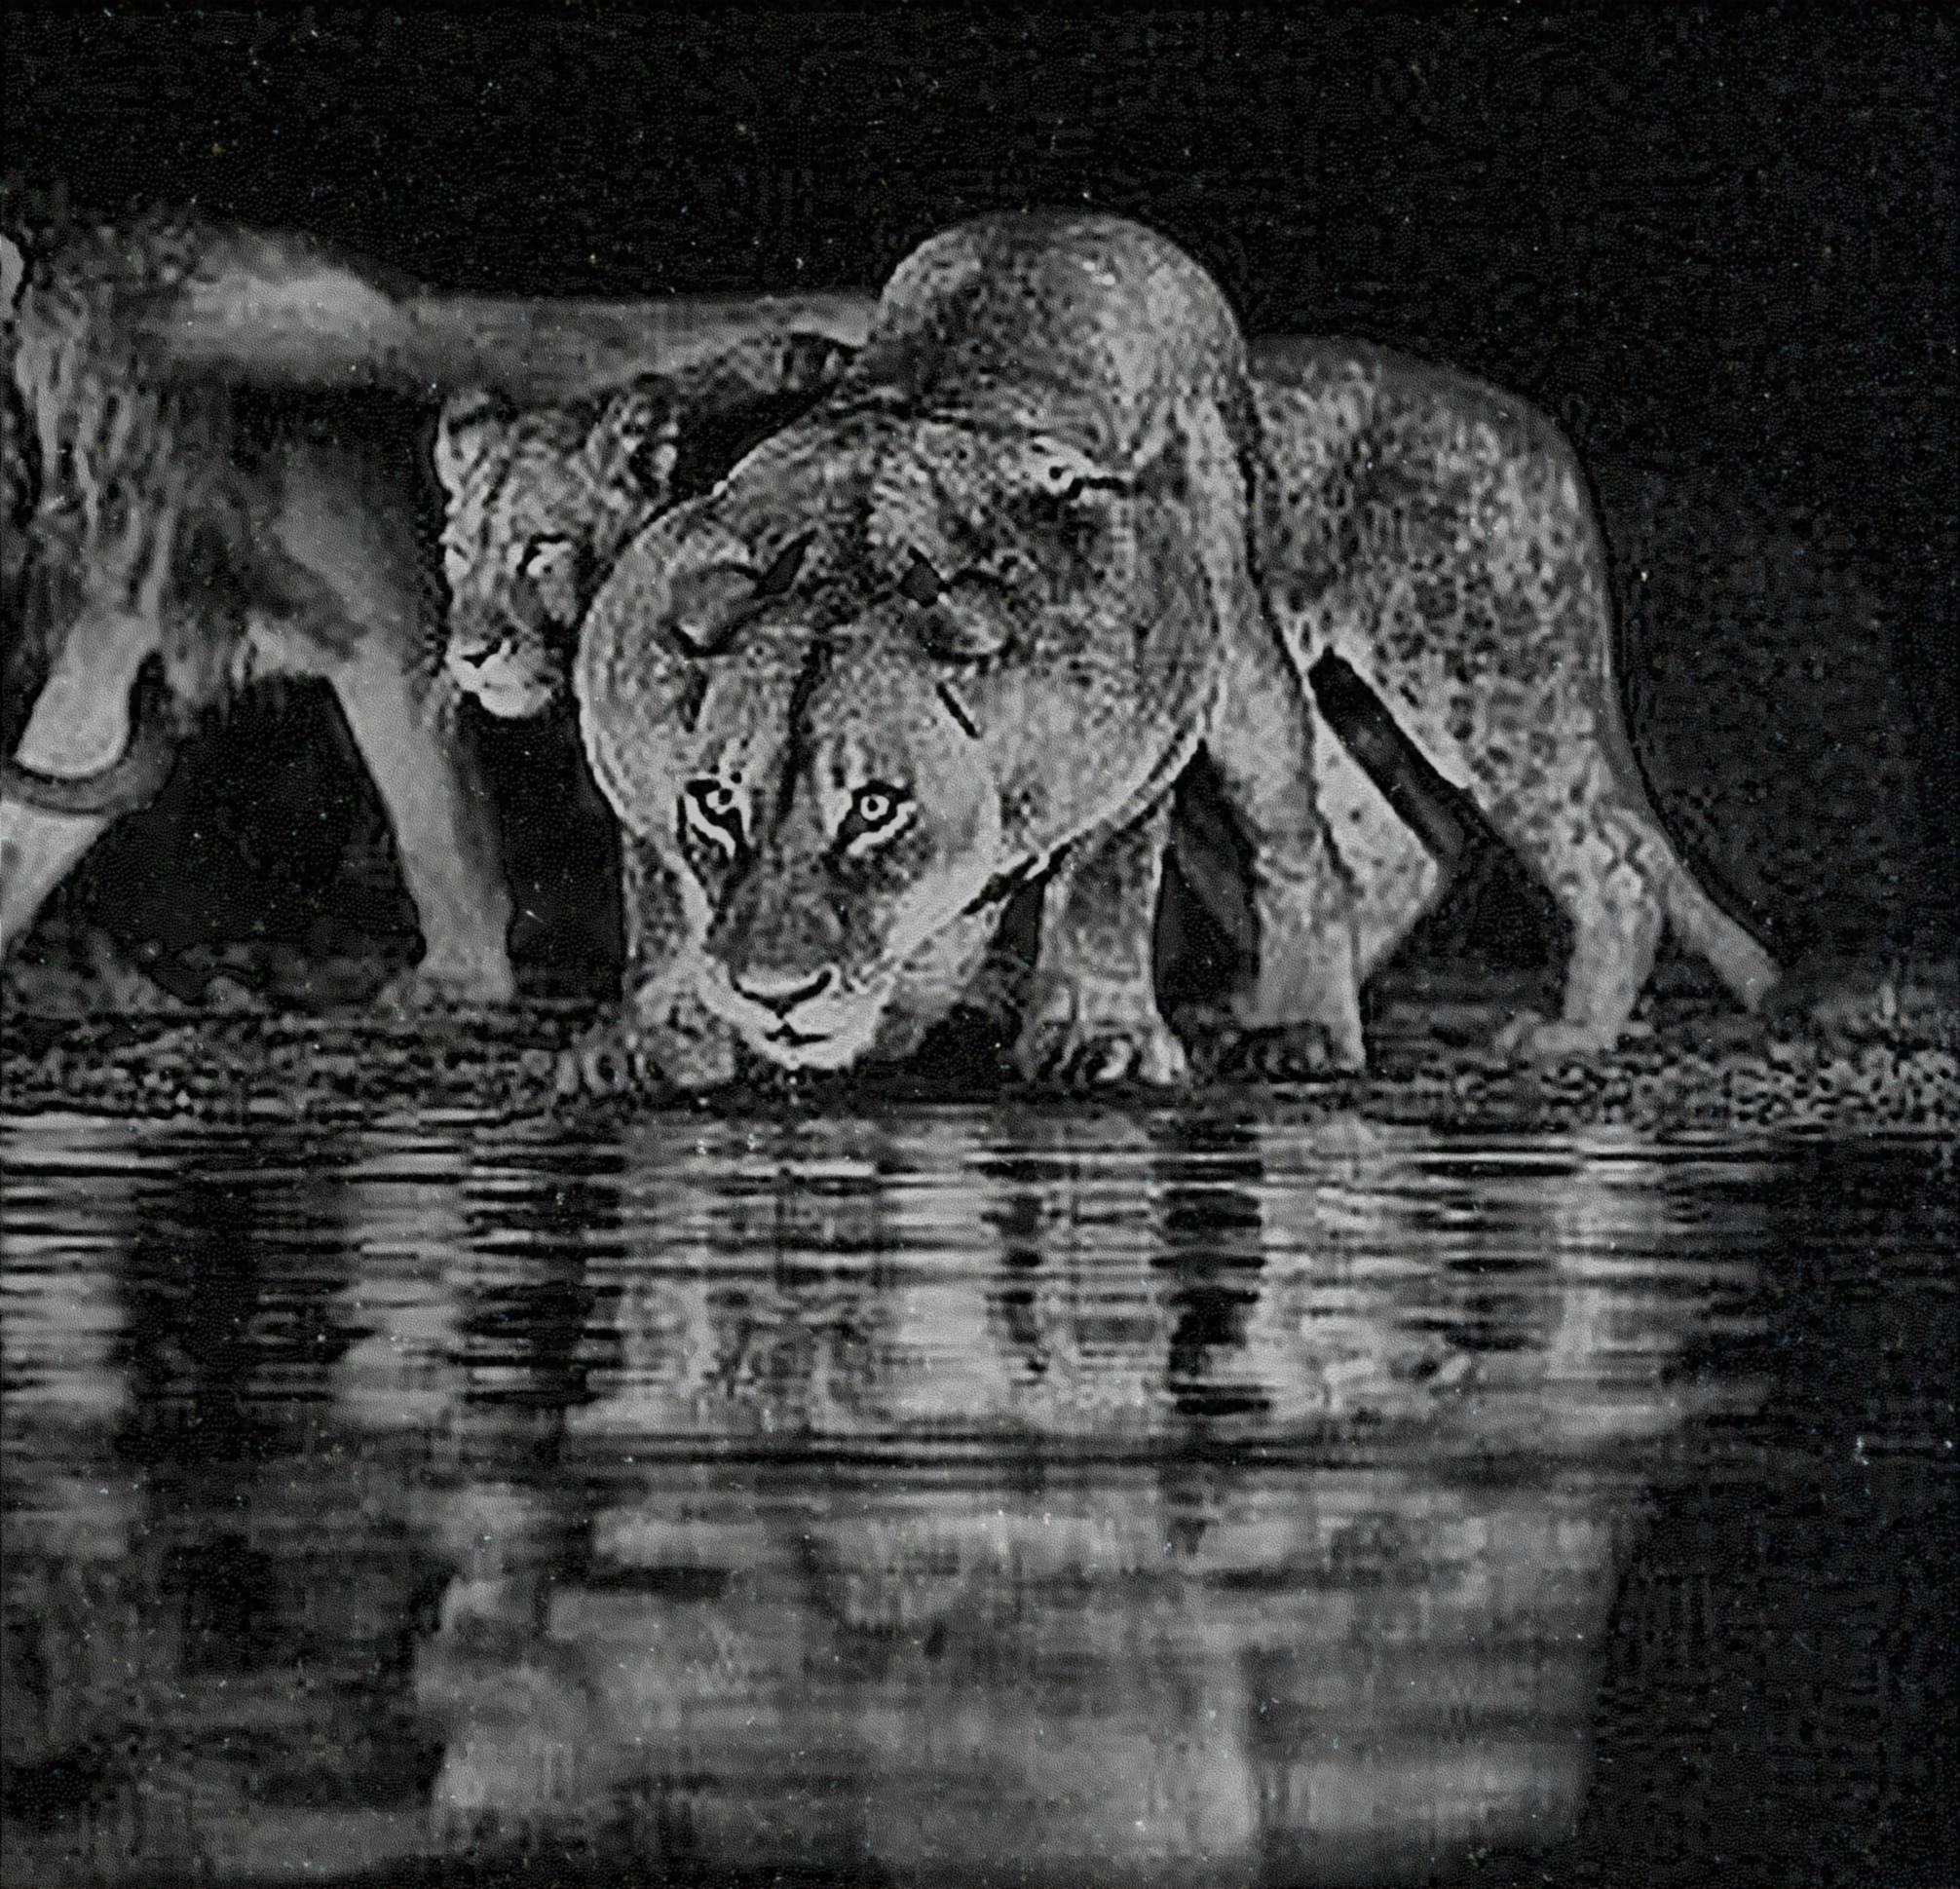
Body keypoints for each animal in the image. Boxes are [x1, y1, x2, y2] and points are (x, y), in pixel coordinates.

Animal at [0, 199, 874, 1006]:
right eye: (459, 551)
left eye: (538, 547)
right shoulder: (108, 654)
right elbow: (35, 817)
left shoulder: (392, 636)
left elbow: (435, 829)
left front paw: (462, 977)